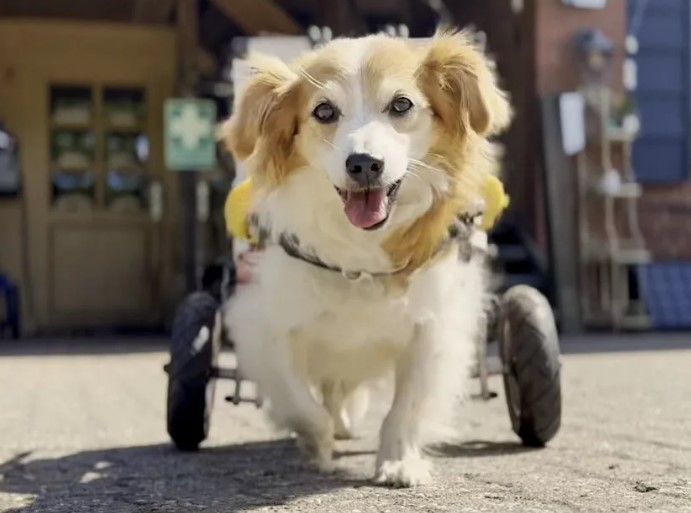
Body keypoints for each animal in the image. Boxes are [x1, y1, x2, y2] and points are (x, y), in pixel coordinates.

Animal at [224, 30, 510, 486]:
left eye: (401, 105)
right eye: (324, 111)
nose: (363, 164)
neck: (360, 250)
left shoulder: (433, 327)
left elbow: (405, 407)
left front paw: (398, 462)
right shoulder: (266, 328)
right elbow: (303, 406)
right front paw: (318, 449)